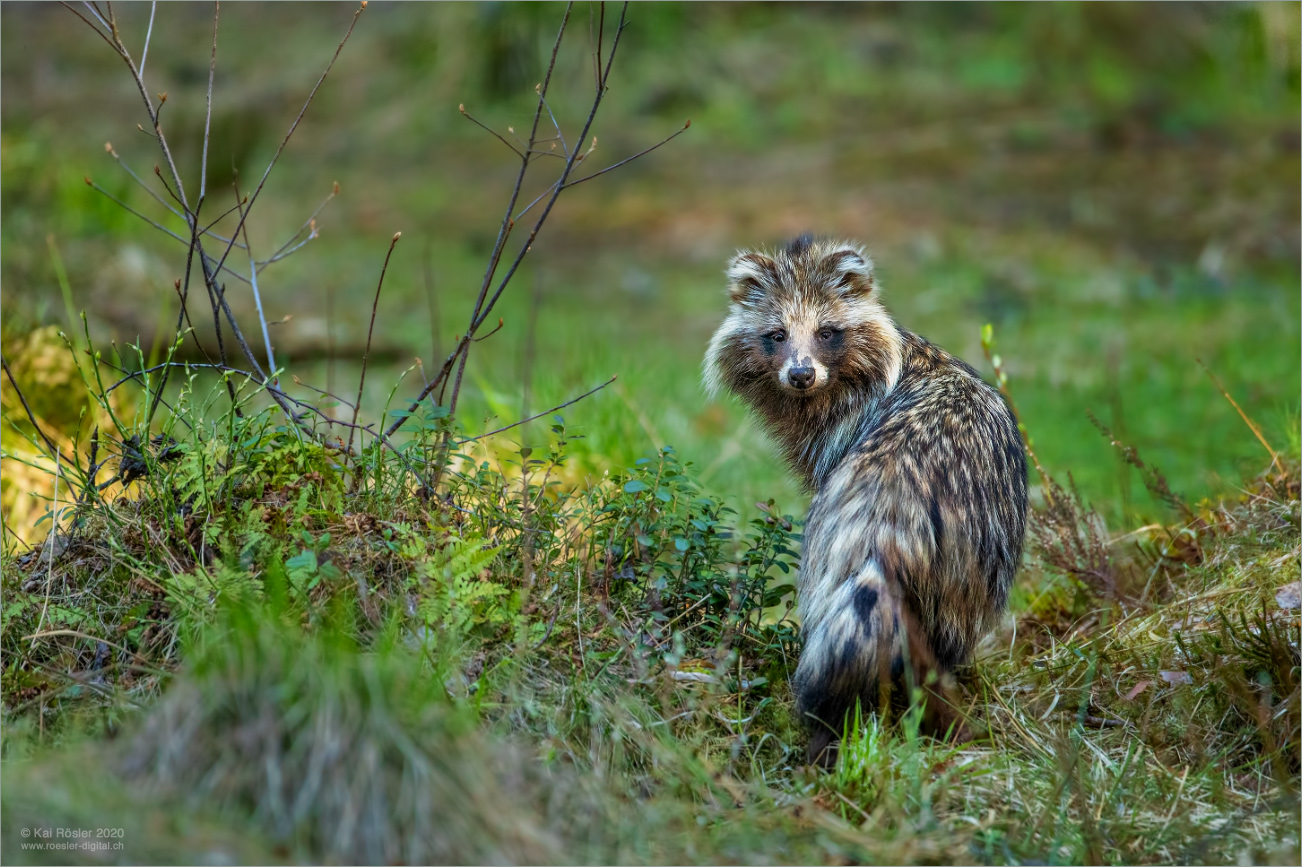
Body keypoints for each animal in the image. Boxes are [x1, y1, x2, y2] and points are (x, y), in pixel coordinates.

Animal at [703, 233, 1025, 760]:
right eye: (777, 335)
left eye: (827, 332)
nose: (800, 375)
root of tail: (888, 518)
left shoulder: (840, 436)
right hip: (963, 558)